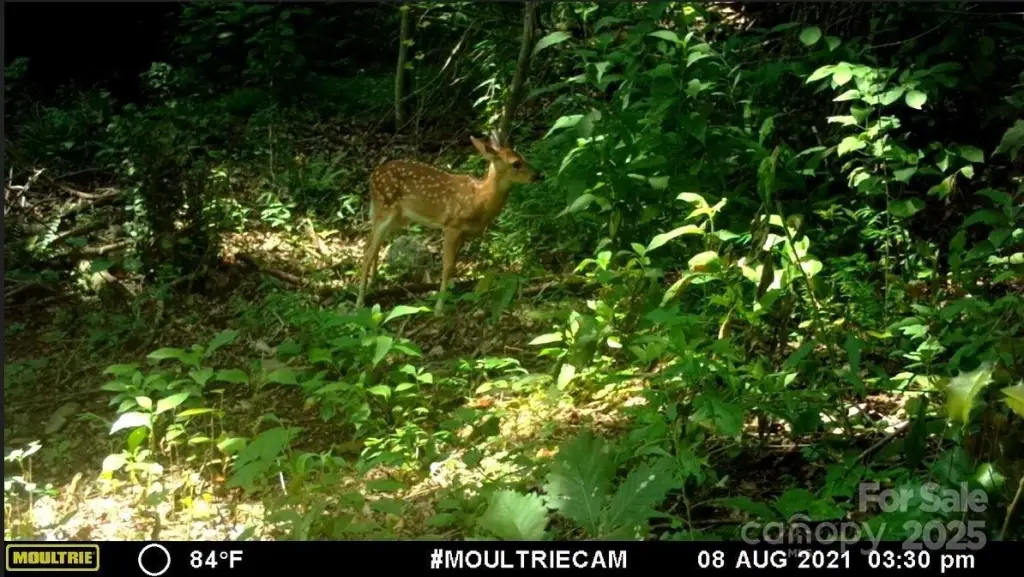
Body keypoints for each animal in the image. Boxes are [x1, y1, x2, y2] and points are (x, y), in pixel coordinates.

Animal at [355, 134, 543, 316]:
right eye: (516, 163)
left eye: (523, 156)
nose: (537, 175)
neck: (479, 199)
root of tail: (373, 176)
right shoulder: (452, 225)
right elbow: (447, 266)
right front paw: (439, 309)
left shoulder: (463, 232)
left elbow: (454, 266)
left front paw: (451, 296)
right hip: (385, 209)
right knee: (368, 250)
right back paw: (359, 302)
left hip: (397, 217)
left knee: (372, 244)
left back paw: (372, 285)